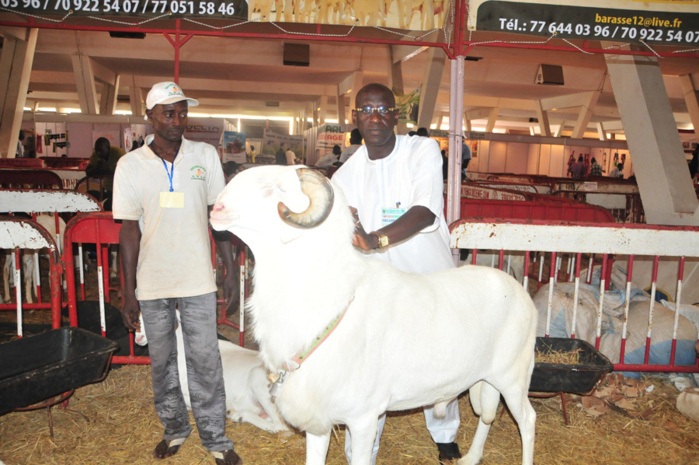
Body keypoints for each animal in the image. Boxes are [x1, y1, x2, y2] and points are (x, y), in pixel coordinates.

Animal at [209, 165, 538, 465]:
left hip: (513, 377)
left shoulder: (364, 418)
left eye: (275, 189)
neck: (328, 301)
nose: (216, 209)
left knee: (528, 420)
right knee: (487, 416)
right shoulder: (318, 416)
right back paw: (472, 456)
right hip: (487, 379)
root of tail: (521, 293)